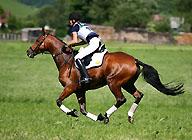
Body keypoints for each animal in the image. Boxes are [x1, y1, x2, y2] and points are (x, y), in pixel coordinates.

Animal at [26, 28, 184, 123]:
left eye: (37, 40)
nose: (28, 52)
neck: (66, 59)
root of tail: (134, 60)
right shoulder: (79, 90)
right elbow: (83, 110)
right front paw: (94, 117)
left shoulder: (70, 87)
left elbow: (59, 101)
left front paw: (72, 112)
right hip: (128, 84)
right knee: (138, 95)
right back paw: (129, 116)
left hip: (113, 83)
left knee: (121, 99)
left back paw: (106, 116)